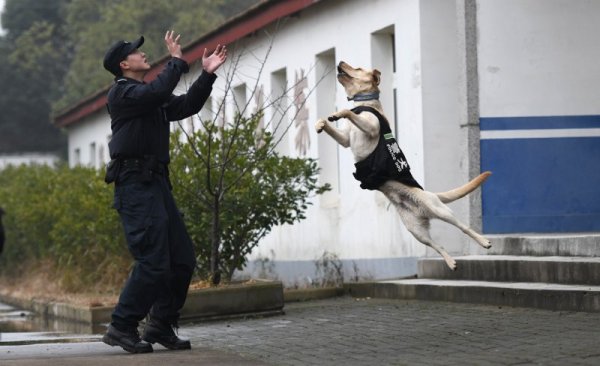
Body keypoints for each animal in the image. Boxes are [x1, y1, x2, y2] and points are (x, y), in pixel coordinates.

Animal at [316, 61, 490, 270]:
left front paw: (339, 113)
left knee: (463, 226)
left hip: (440, 210)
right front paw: (320, 124)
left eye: (357, 68)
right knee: (437, 245)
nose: (340, 62)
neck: (364, 104)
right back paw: (450, 262)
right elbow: (329, 125)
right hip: (416, 231)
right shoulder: (344, 140)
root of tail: (429, 196)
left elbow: (348, 112)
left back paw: (483, 241)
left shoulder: (371, 128)